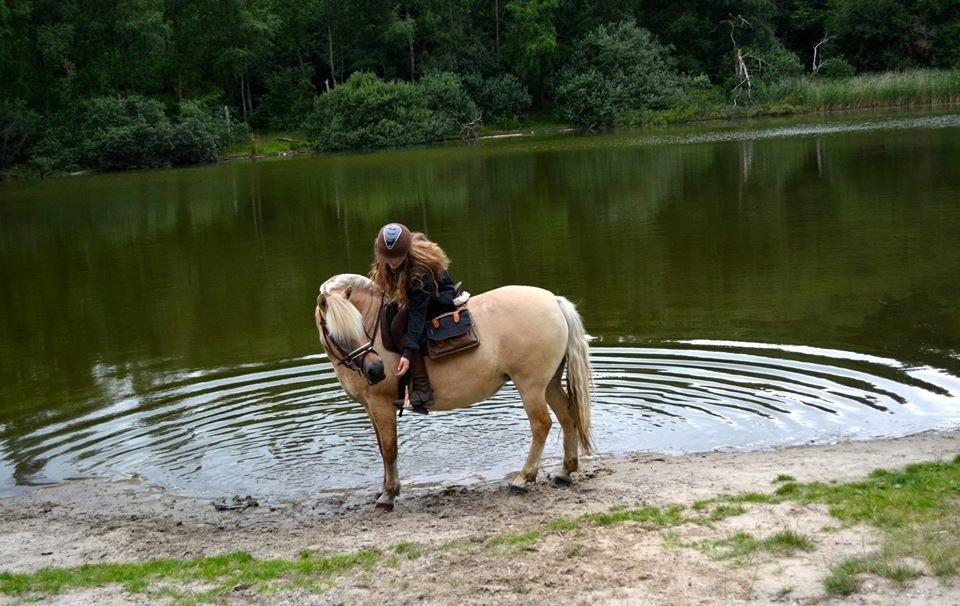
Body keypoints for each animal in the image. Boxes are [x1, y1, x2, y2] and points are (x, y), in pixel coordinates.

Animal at [316, 276, 592, 512]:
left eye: (359, 325)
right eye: (335, 333)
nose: (376, 370)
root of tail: (554, 301)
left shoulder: (380, 405)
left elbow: (389, 448)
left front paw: (388, 494)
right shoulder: (370, 407)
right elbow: (382, 449)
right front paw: (384, 489)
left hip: (531, 386)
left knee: (541, 425)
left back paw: (523, 478)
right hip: (550, 384)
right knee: (567, 417)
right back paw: (565, 471)